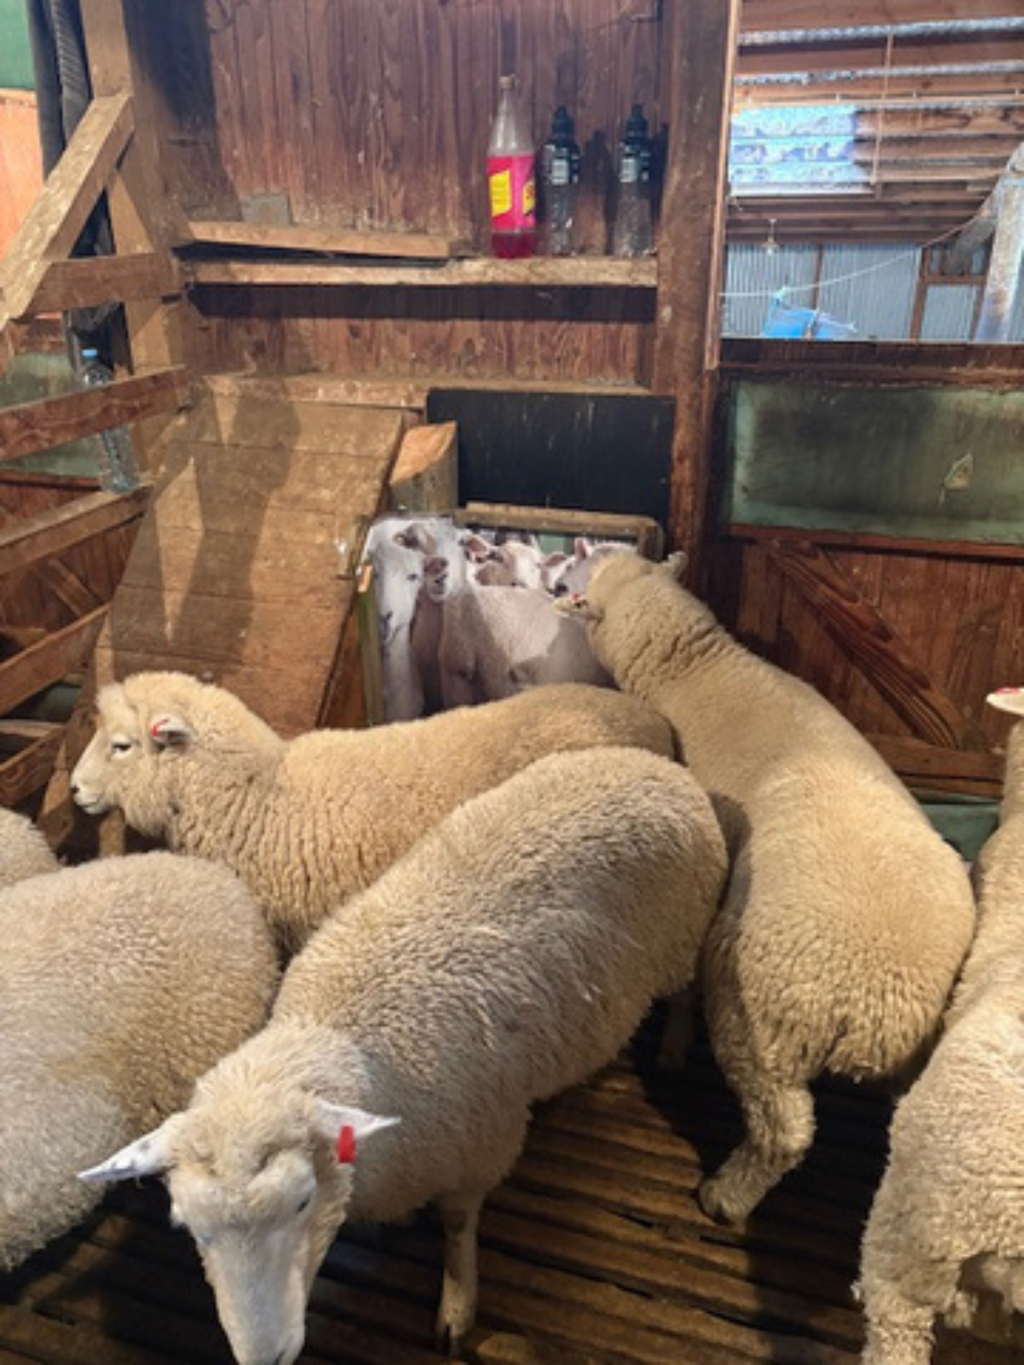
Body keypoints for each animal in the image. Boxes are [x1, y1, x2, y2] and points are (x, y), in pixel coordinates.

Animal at [79, 744, 729, 1365]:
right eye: (190, 1228)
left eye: (303, 1202)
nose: (264, 1357)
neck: (342, 1033)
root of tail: (658, 766)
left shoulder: (479, 1145)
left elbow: (460, 1227)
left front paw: (457, 1306)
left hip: (683, 936)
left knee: (686, 994)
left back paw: (674, 1048)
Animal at [565, 550, 976, 1224]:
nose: (578, 557)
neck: (694, 669)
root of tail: (880, 1003)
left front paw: (674, 1047)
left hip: (761, 1024)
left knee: (783, 1130)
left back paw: (727, 1195)